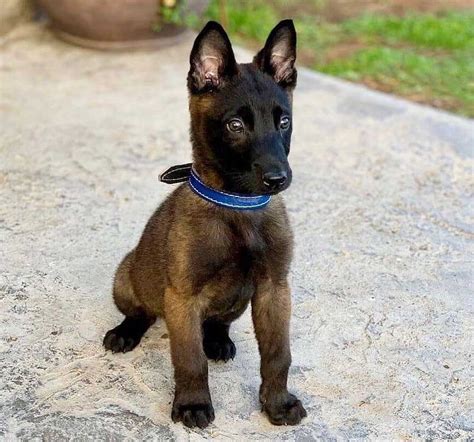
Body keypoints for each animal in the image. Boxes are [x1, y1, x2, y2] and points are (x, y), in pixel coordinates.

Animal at [103, 19, 308, 428]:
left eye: (284, 122)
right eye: (235, 125)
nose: (278, 179)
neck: (240, 208)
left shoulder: (274, 288)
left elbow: (278, 353)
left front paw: (277, 403)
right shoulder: (182, 297)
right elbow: (189, 360)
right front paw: (193, 404)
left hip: (240, 299)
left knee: (217, 322)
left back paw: (217, 340)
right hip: (127, 278)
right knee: (141, 312)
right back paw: (126, 332)